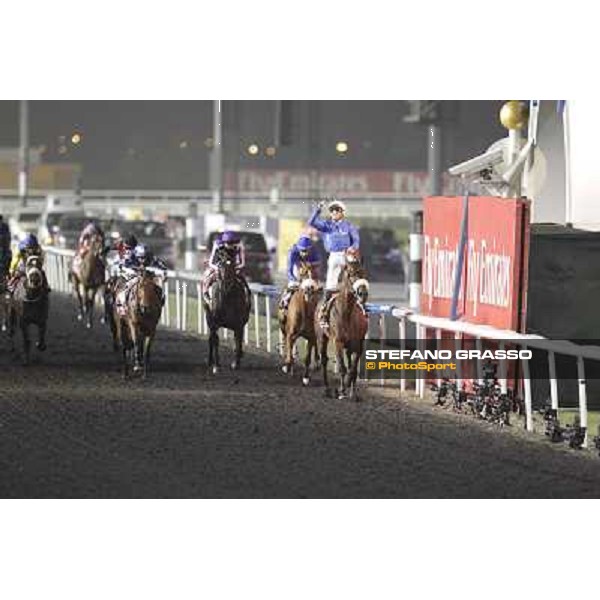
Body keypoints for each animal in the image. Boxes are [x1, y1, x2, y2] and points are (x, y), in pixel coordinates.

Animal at [314, 264, 370, 400]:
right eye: (350, 274)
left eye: (363, 273)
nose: (363, 294)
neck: (347, 313)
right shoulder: (338, 341)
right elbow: (342, 368)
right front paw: (341, 390)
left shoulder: (358, 343)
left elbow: (353, 369)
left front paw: (352, 393)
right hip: (322, 338)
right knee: (324, 360)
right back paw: (327, 389)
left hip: (349, 345)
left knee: (349, 361)